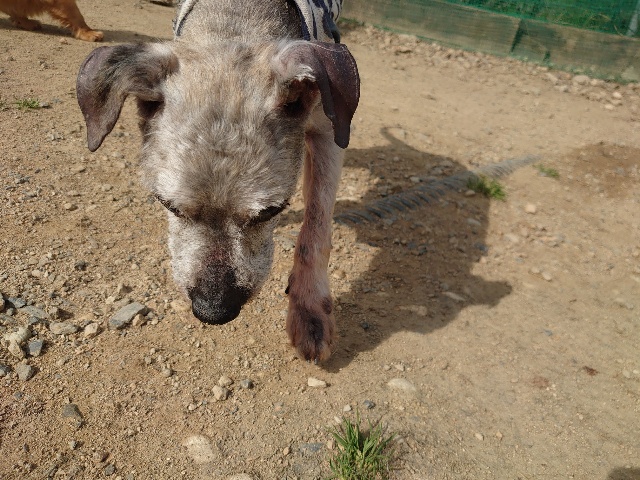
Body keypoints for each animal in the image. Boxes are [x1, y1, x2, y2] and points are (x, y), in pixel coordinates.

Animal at [76, 0, 359, 361]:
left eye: (271, 211)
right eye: (168, 205)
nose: (214, 311)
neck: (236, 21)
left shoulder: (329, 132)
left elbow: (316, 228)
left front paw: (308, 310)